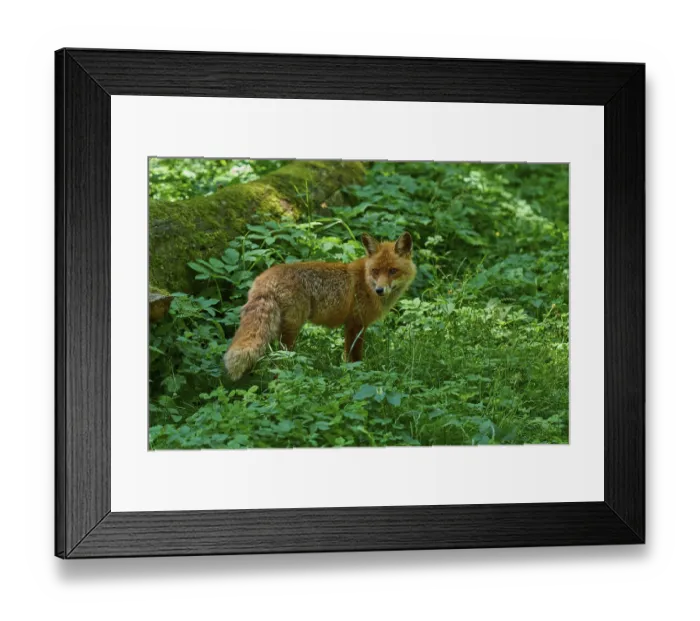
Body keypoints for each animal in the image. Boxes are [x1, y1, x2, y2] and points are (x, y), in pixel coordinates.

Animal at [223, 231, 417, 381]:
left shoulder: (351, 325)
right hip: (291, 330)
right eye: (375, 271)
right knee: (280, 361)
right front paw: (357, 374)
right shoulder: (356, 323)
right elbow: (354, 357)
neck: (365, 281)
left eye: (393, 271)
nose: (379, 290)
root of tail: (265, 277)